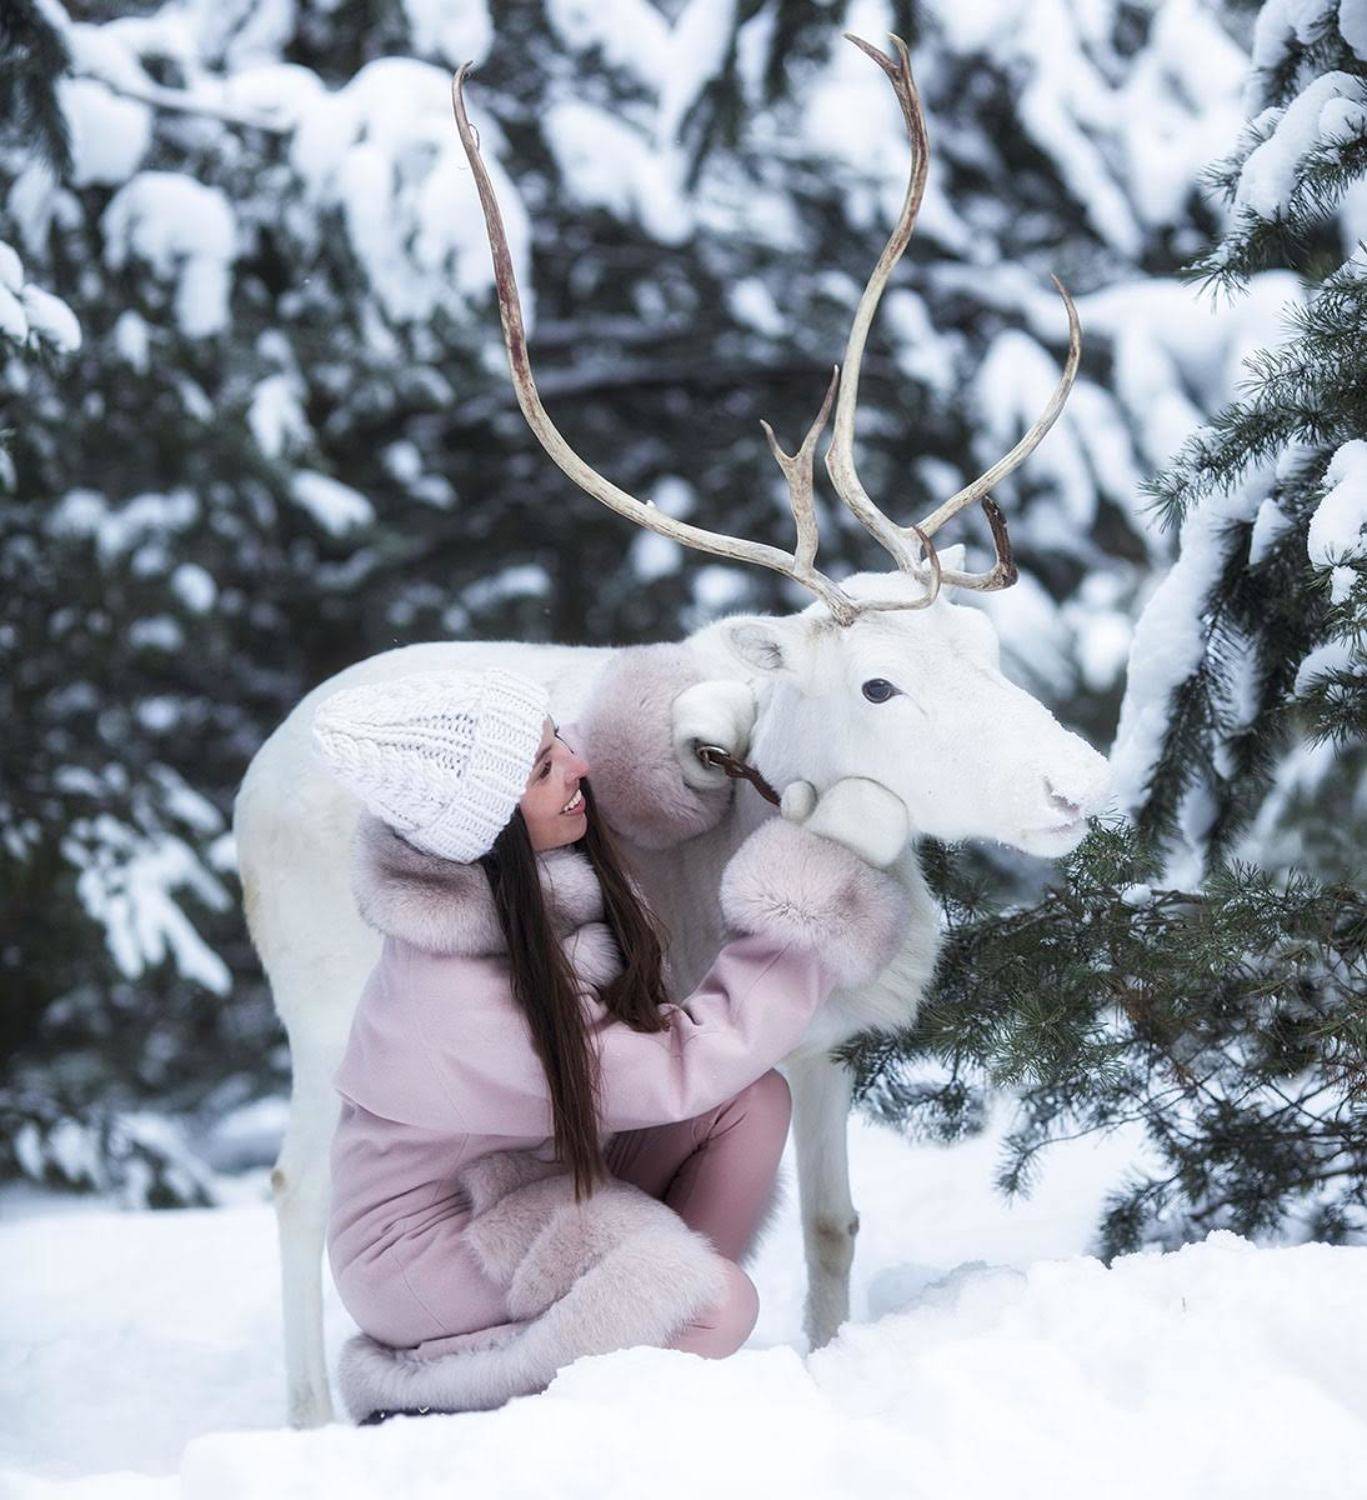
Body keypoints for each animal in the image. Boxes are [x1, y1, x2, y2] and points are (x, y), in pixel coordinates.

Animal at [233, 33, 1110, 1428]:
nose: (1079, 781)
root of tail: (249, 787)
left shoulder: (819, 1048)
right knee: (294, 1189)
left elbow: (831, 1229)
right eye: (878, 686)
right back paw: (316, 1416)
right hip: (321, 1016)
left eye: (982, 649)